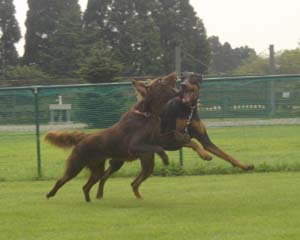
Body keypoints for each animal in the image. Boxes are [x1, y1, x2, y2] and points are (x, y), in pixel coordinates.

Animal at [44, 72, 188, 201]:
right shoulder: (134, 146)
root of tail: (83, 137)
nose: (176, 73)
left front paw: (183, 138)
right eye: (160, 80)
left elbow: (166, 140)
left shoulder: (156, 139)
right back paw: (49, 195)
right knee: (61, 181)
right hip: (76, 165)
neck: (147, 114)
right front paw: (165, 158)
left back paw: (90, 201)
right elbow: (159, 148)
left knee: (86, 186)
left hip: (97, 169)